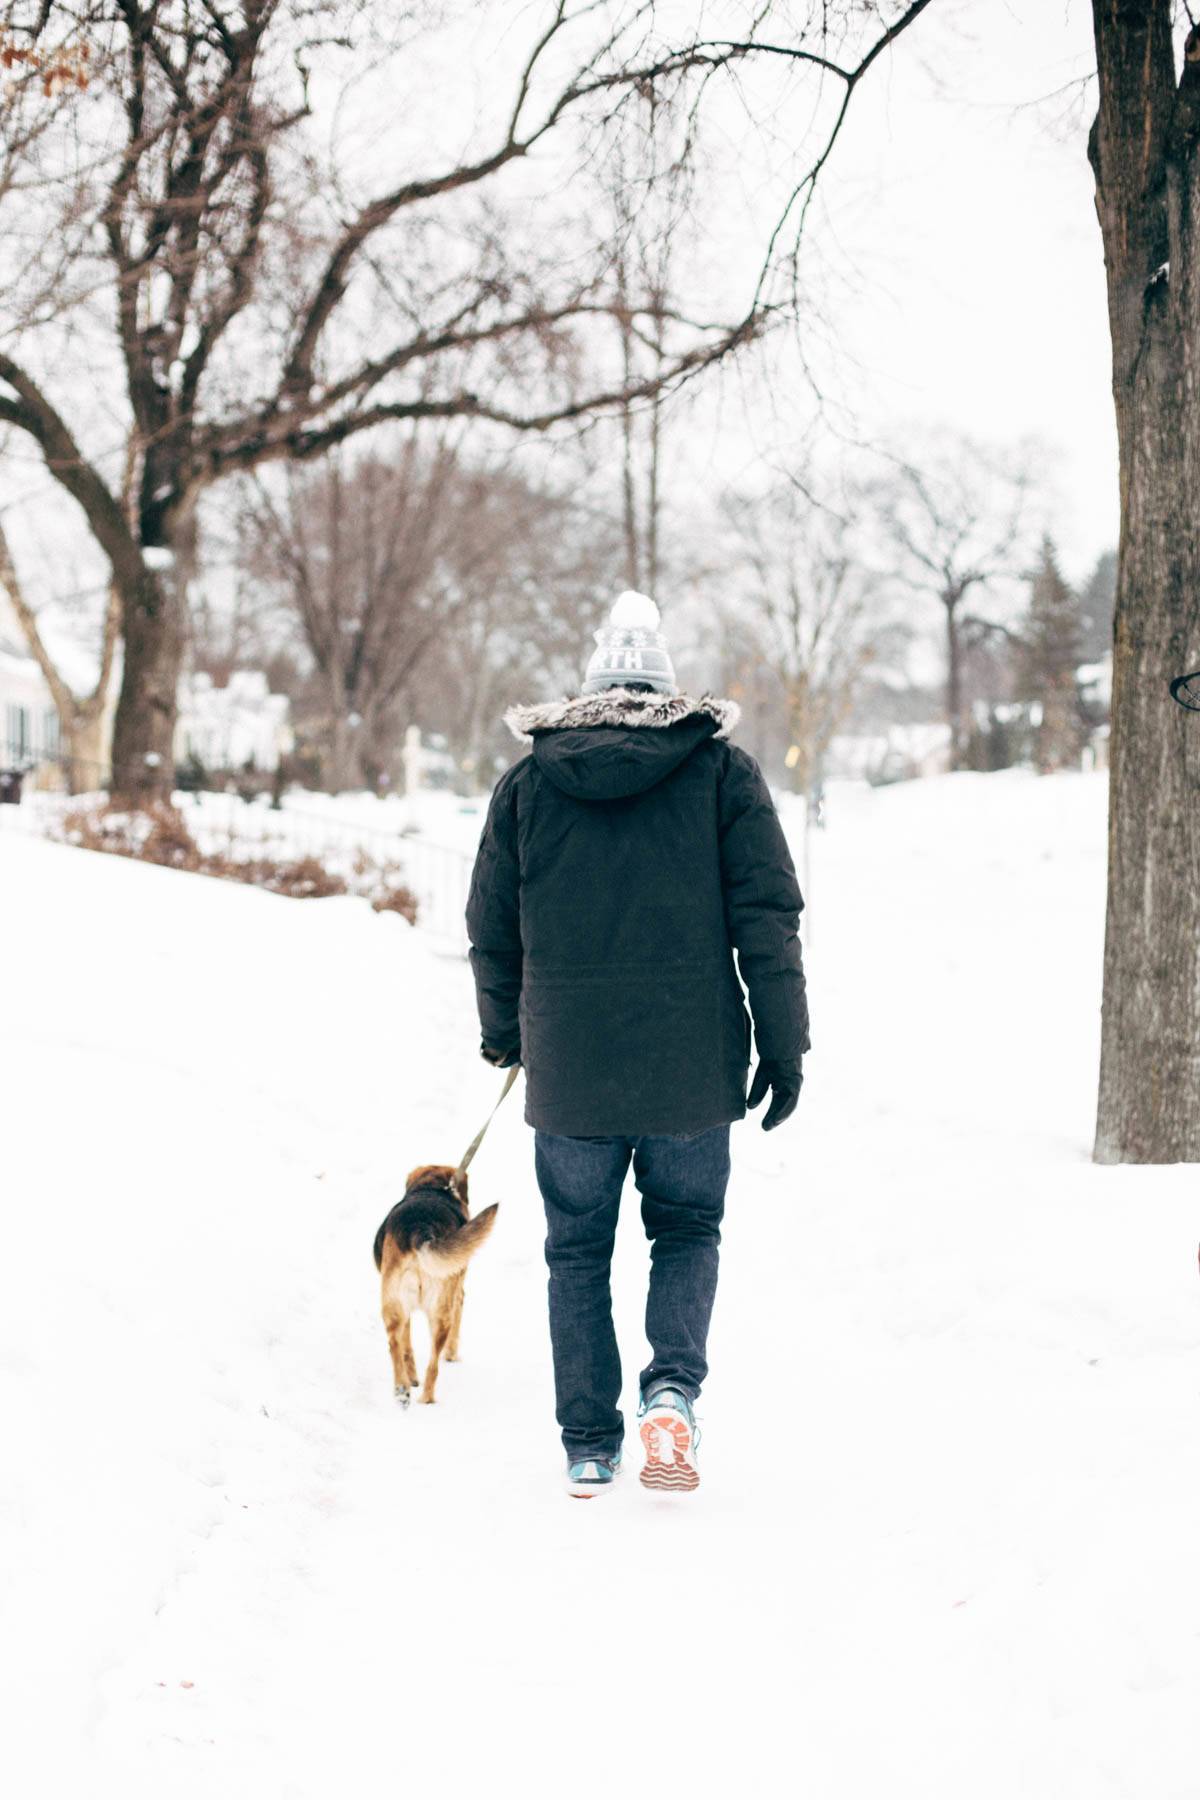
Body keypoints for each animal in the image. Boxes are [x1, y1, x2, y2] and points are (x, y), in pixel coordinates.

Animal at [368, 1166, 496, 1404]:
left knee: (396, 1345)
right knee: (432, 1364)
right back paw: (424, 1397)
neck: (431, 1187)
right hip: (438, 1310)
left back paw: (403, 1389)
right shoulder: (459, 1296)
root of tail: (421, 1229)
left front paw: (411, 1378)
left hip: (394, 1305)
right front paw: (452, 1355)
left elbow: (406, 1346)